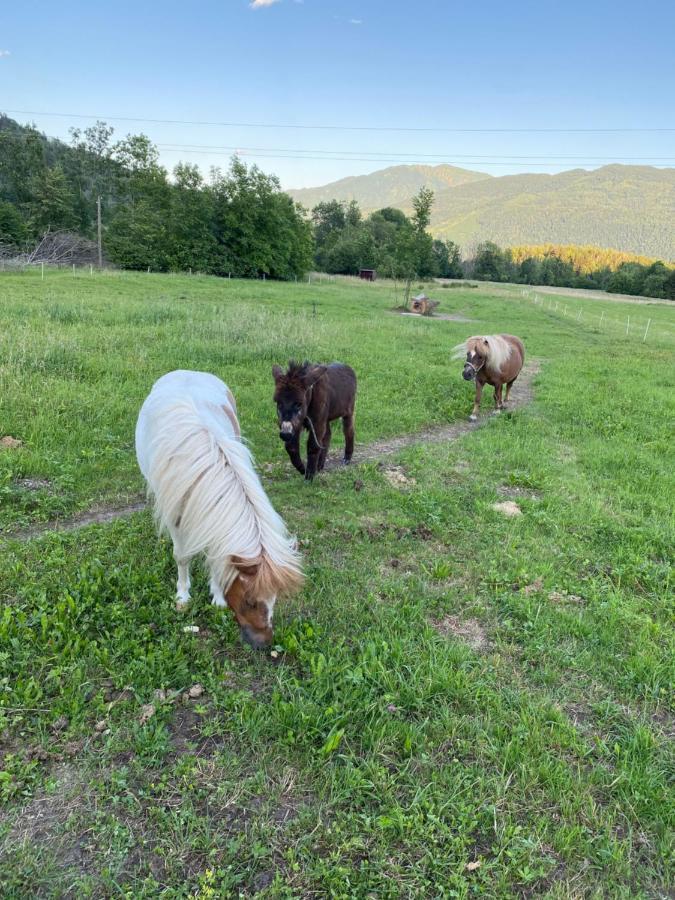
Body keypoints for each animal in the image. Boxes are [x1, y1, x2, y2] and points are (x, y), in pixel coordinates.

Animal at [135, 370, 304, 648]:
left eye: (274, 599)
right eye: (250, 601)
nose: (264, 643)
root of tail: (186, 371)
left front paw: (217, 598)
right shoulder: (176, 518)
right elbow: (181, 557)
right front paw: (182, 597)